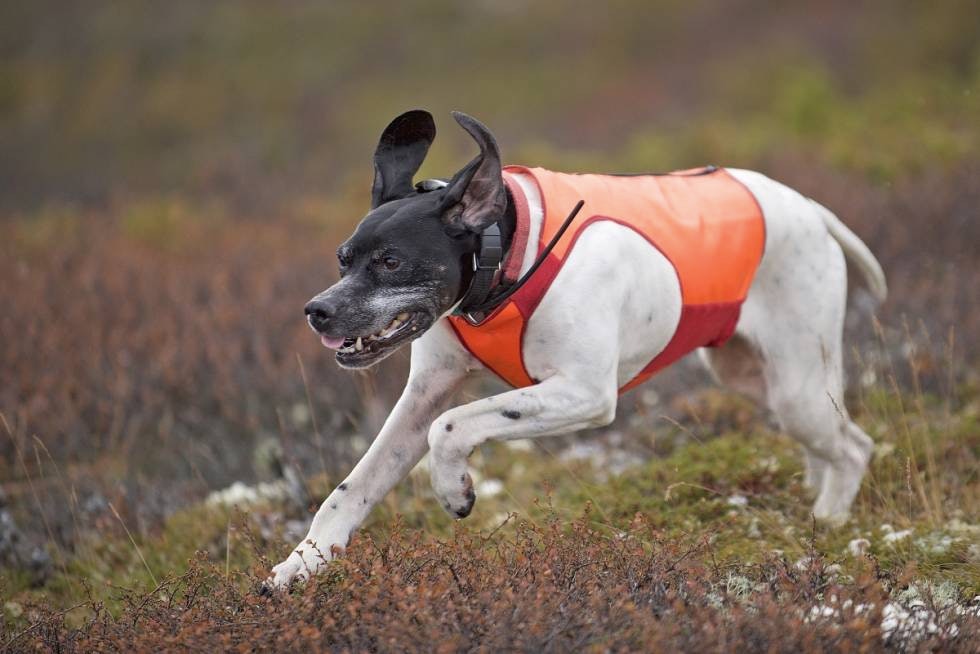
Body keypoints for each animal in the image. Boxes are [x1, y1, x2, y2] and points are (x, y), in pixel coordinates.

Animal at [268, 109, 888, 588]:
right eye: (344, 258)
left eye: (392, 261)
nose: (317, 311)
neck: (508, 257)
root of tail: (809, 207)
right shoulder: (424, 395)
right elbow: (352, 487)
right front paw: (302, 565)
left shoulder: (585, 393)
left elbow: (452, 425)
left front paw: (453, 491)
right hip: (758, 381)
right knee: (829, 444)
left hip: (796, 387)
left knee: (854, 447)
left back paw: (828, 524)